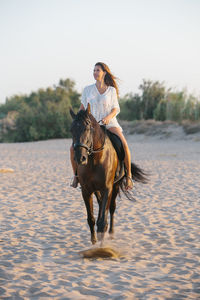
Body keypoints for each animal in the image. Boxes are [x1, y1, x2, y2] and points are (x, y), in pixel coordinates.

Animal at [70, 105, 147, 244]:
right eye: (71, 130)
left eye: (87, 127)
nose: (80, 158)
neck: (94, 159)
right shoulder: (86, 191)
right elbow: (91, 219)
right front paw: (94, 242)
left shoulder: (107, 188)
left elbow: (102, 222)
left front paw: (102, 244)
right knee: (101, 205)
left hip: (115, 186)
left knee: (111, 208)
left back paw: (111, 233)